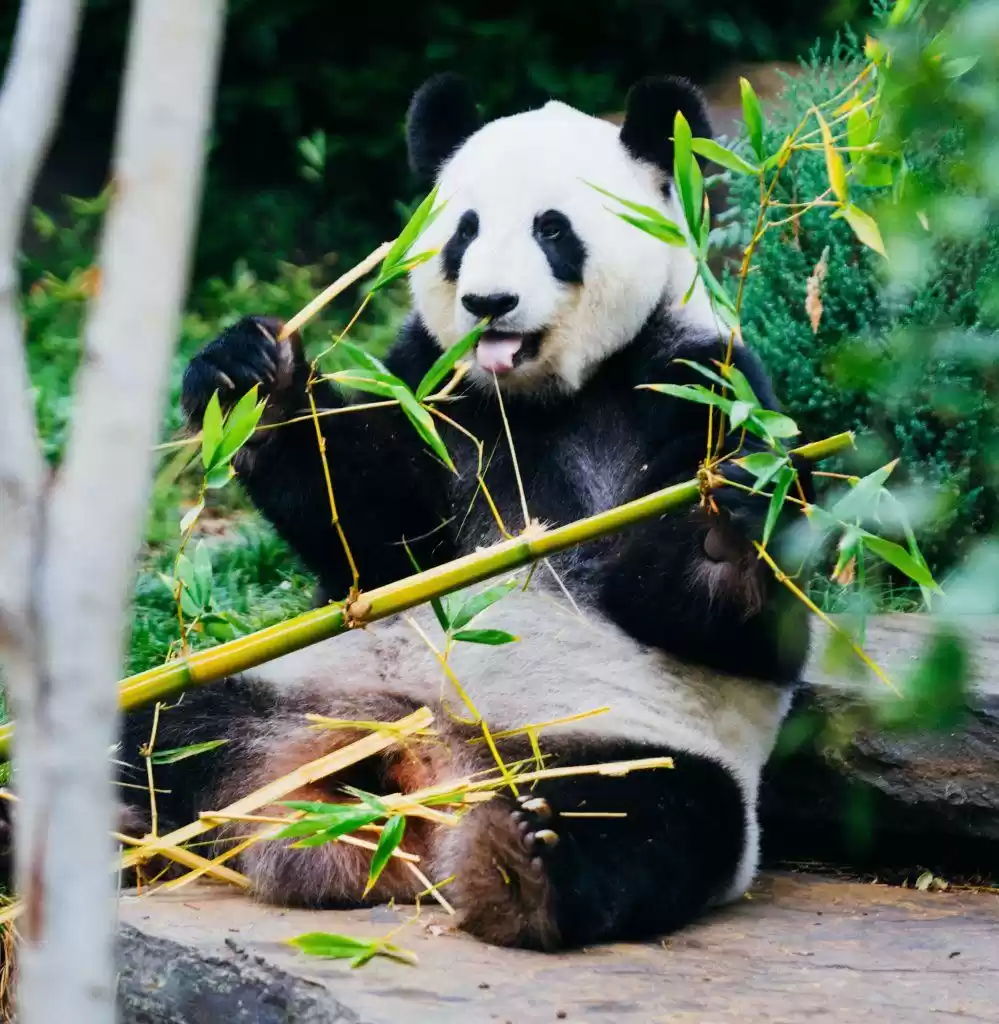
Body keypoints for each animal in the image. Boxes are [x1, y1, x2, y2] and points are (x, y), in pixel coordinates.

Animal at [122, 74, 813, 950]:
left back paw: (525, 862)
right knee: (164, 735)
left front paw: (726, 518)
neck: (538, 397)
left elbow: (740, 624)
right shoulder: (433, 386)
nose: (489, 303)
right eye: (465, 229)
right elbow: (377, 535)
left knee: (654, 817)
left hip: (624, 745)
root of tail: (415, 773)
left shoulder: (697, 379)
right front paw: (251, 375)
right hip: (277, 687)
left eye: (552, 228)